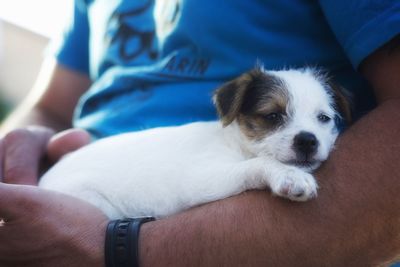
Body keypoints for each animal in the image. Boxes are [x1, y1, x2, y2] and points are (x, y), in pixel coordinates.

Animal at [38, 67, 350, 220]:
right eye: (273, 115)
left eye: (324, 118)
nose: (308, 140)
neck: (235, 144)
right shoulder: (202, 180)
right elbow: (258, 163)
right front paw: (289, 176)